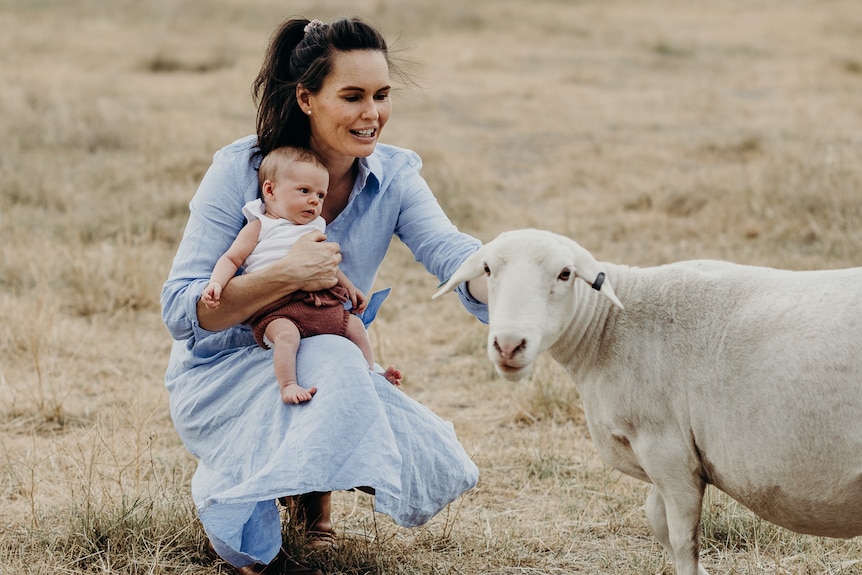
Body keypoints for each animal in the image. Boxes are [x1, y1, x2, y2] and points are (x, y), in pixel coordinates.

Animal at [436, 228, 862, 575]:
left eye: (565, 274)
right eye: (487, 269)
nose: (508, 345)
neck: (608, 331)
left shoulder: (669, 452)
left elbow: (681, 540)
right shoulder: (665, 459)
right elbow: (656, 520)